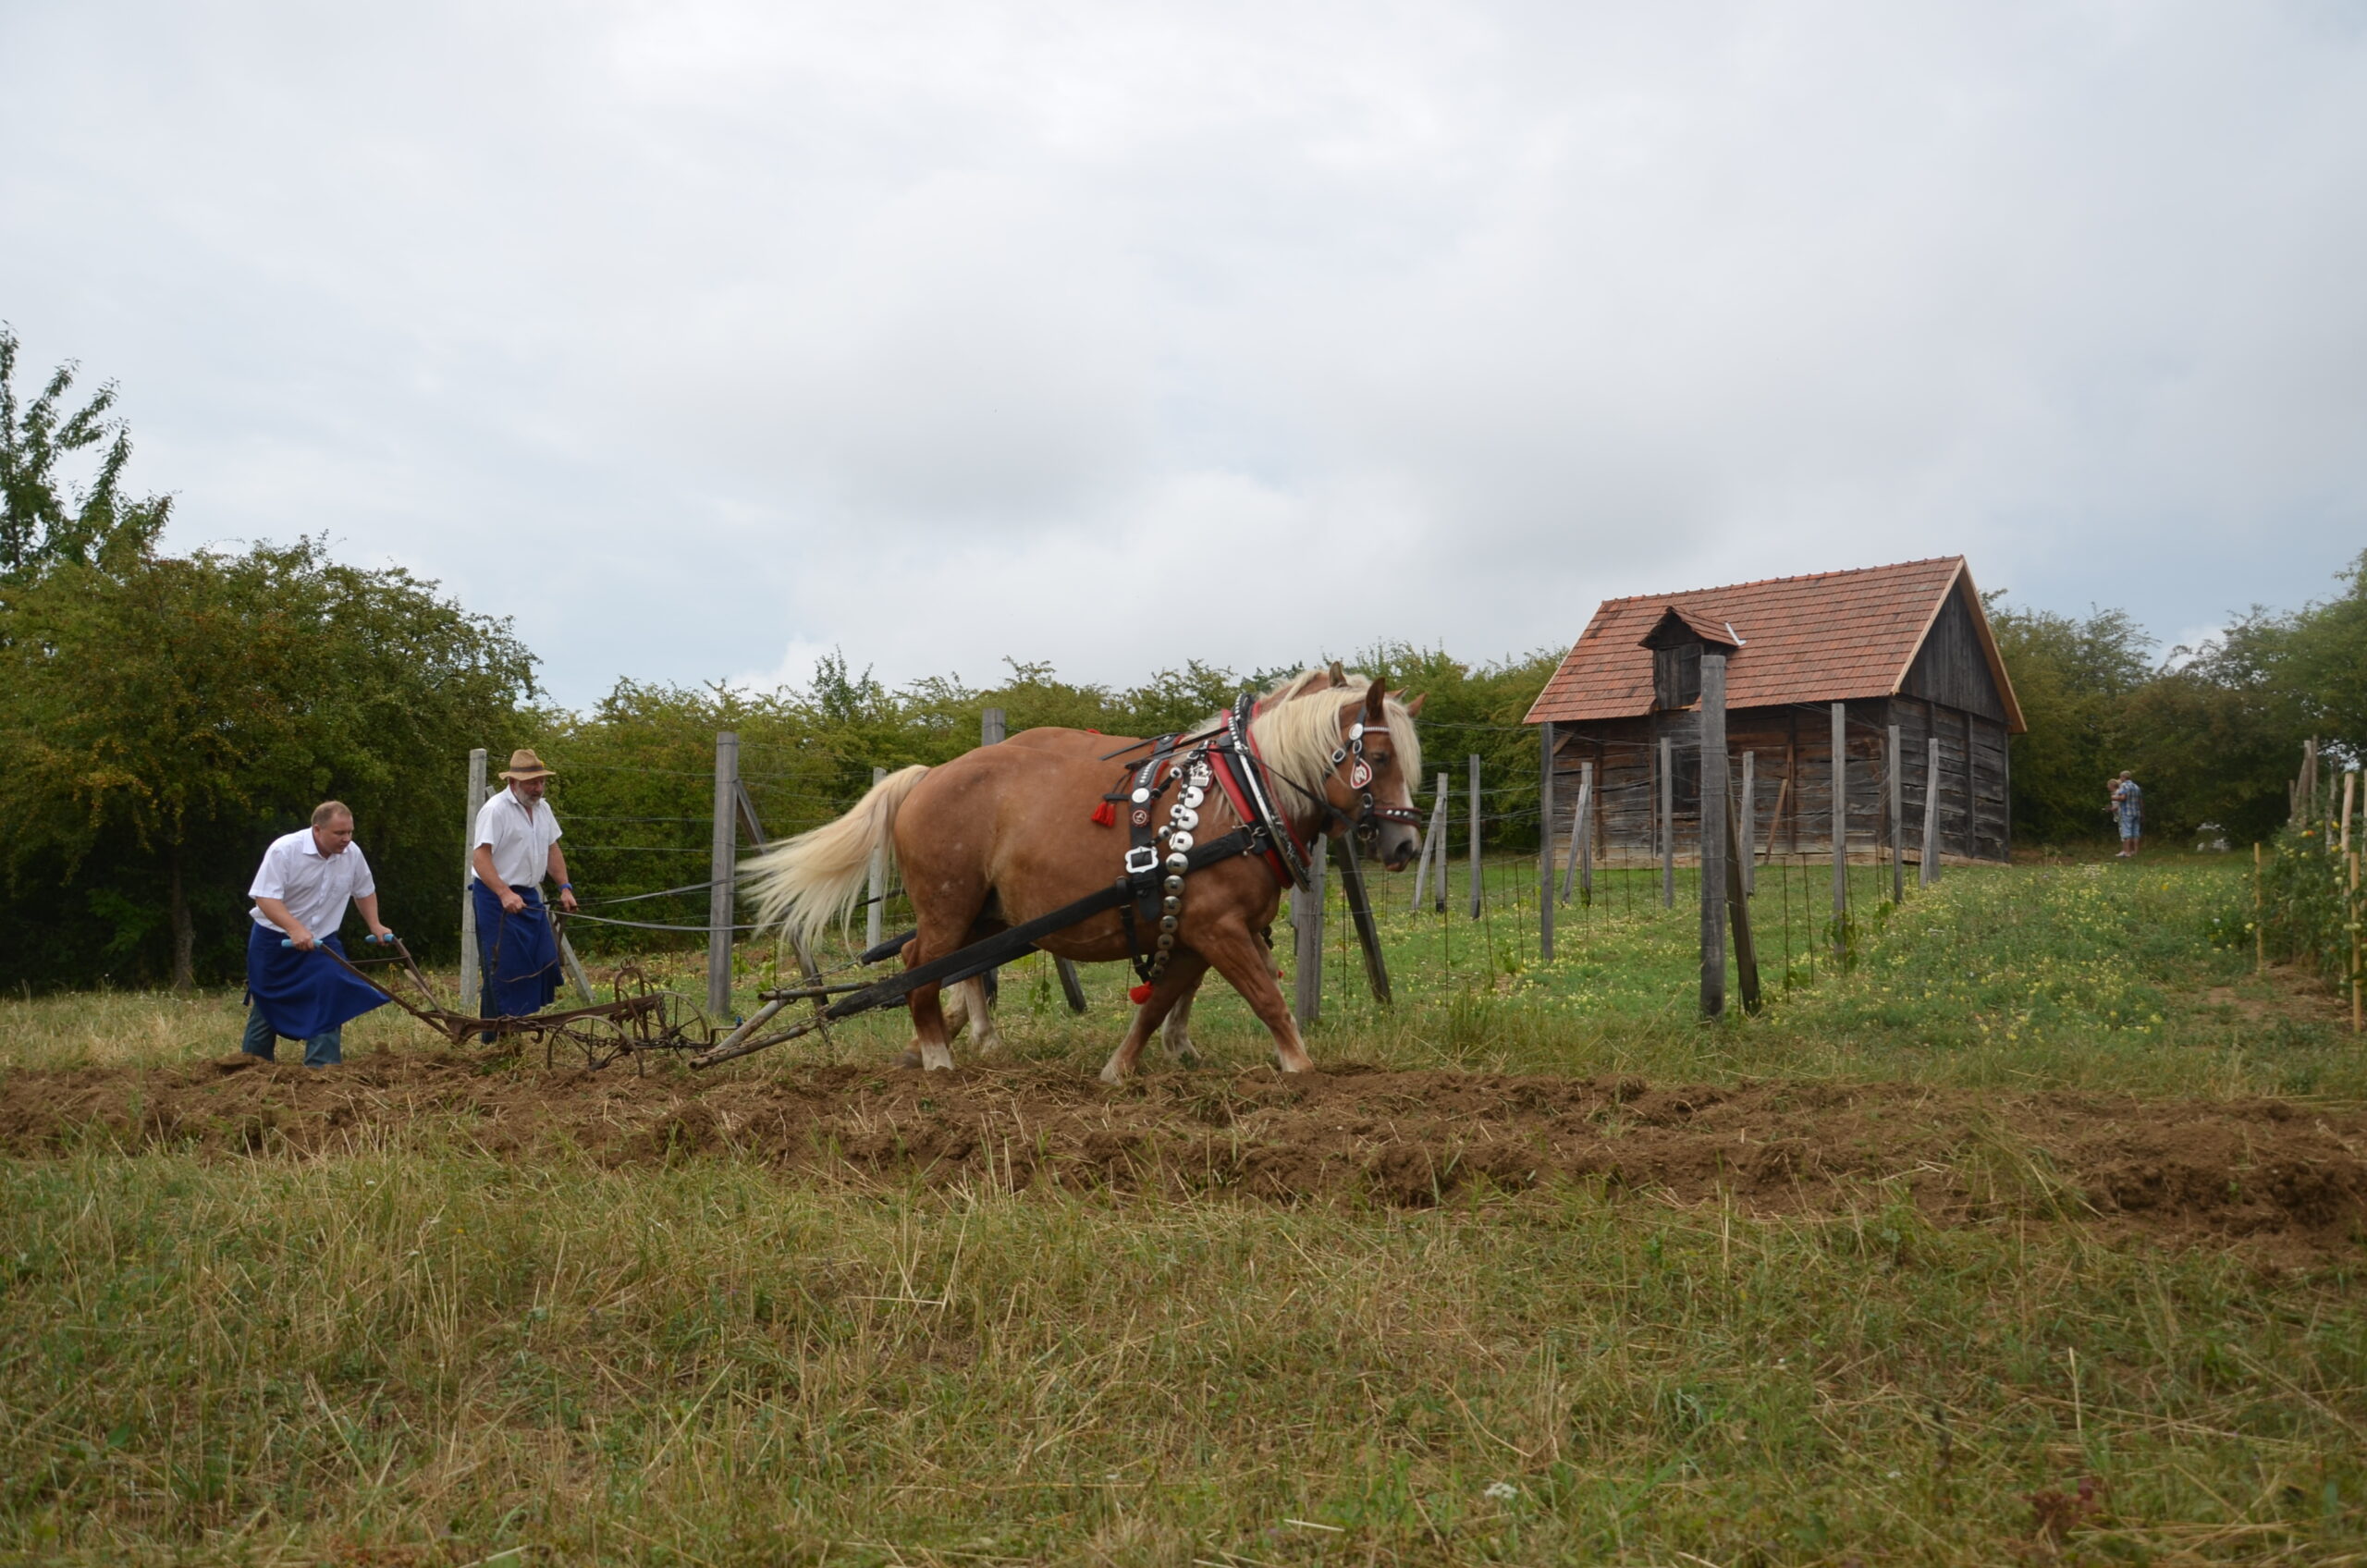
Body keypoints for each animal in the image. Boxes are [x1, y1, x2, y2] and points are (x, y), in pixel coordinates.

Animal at [742, 677, 1420, 1080]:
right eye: (1378, 757)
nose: (1407, 844)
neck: (1242, 799)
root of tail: (928, 776)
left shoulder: (1201, 929)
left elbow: (1164, 1002)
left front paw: (1127, 1067)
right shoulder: (1217, 925)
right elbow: (1266, 997)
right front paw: (1301, 1070)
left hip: (985, 912)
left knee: (945, 967)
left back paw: (951, 1043)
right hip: (947, 905)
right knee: (920, 970)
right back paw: (937, 1058)